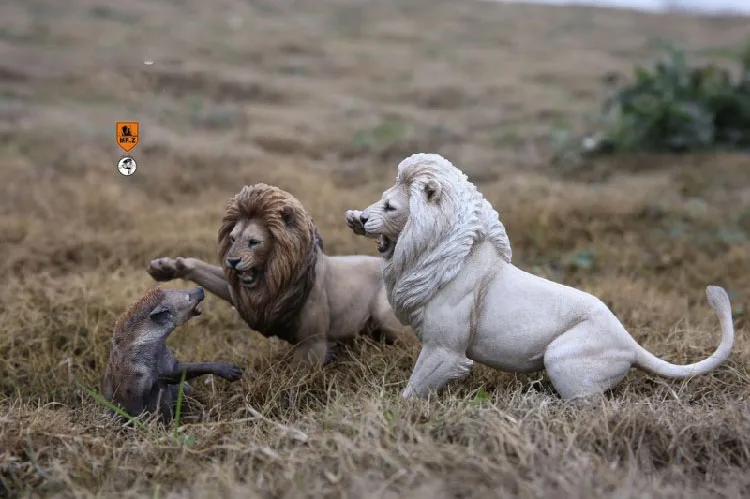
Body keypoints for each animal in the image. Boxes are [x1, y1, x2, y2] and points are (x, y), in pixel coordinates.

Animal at [148, 183, 404, 365]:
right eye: (232, 238)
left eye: (254, 242)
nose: (232, 261)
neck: (278, 278)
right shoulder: (248, 296)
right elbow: (202, 268)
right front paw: (165, 267)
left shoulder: (313, 343)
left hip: (388, 319)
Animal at [345, 153, 735, 401]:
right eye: (381, 199)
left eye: (390, 207)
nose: (360, 218)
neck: (438, 255)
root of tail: (629, 343)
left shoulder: (445, 349)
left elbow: (415, 387)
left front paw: (396, 408)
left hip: (562, 358)